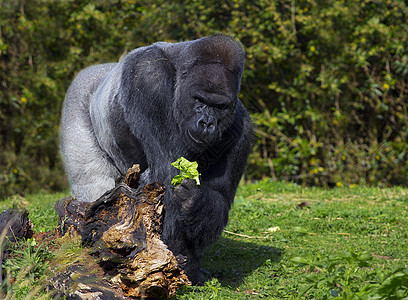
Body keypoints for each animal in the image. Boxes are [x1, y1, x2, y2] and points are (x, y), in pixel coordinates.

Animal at [59, 35, 253, 284]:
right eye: (199, 99)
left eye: (219, 106)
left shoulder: (241, 129)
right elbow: (165, 174)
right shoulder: (148, 76)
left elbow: (218, 196)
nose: (207, 123)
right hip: (77, 99)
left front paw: (195, 201)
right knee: (93, 182)